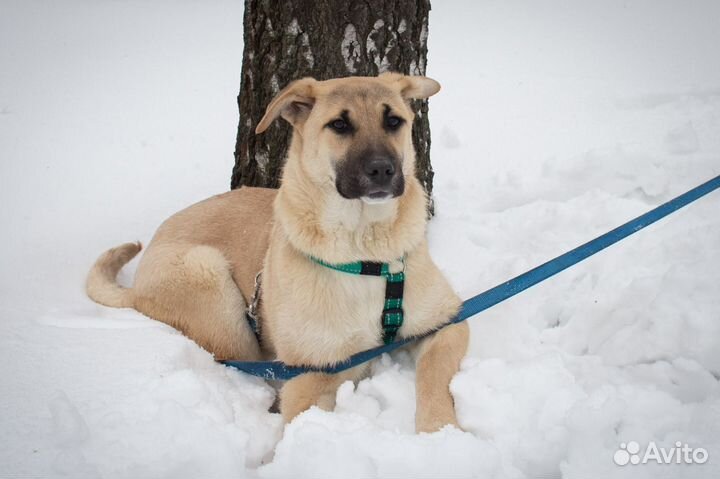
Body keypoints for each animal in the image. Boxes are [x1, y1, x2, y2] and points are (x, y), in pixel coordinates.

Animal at [86, 72, 466, 436]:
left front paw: (439, 432)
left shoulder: (447, 323)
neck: (365, 251)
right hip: (215, 290)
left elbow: (433, 374)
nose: (383, 170)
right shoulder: (312, 371)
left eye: (394, 121)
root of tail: (136, 284)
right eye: (339, 125)